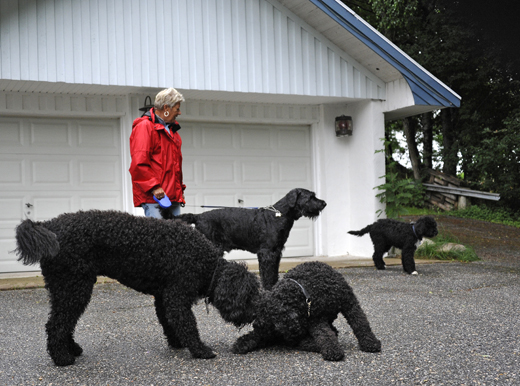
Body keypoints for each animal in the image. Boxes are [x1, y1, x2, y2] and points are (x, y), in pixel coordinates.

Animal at [14, 210, 260, 366]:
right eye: (248, 296)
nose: (255, 316)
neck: (205, 262)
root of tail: (48, 225)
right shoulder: (176, 297)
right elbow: (187, 324)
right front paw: (200, 350)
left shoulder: (163, 297)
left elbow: (169, 323)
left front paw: (177, 343)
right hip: (74, 287)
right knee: (56, 325)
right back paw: (62, 359)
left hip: (66, 289)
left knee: (64, 323)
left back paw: (71, 349)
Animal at [160, 187, 328, 290]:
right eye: (310, 196)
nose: (324, 203)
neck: (279, 214)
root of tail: (198, 217)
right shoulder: (267, 253)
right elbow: (266, 273)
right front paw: (268, 288)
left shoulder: (276, 251)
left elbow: (274, 272)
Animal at [233, 260, 382, 360]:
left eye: (272, 326)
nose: (257, 326)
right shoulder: (315, 319)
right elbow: (325, 334)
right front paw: (332, 349)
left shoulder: (350, 303)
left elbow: (361, 323)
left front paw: (370, 343)